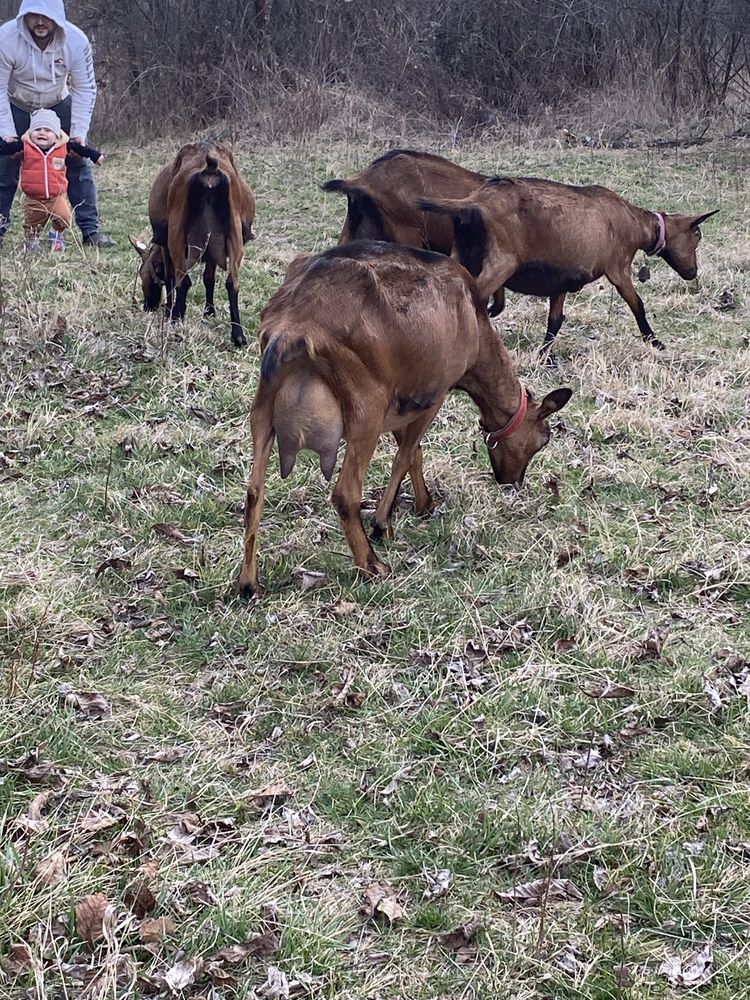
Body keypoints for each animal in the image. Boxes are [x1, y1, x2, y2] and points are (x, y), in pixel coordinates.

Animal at [131, 139, 258, 346]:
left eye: (143, 274)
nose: (147, 306)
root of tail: (209, 171)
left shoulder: (165, 245)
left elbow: (170, 277)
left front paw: (170, 311)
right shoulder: (214, 247)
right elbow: (209, 278)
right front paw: (209, 312)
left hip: (177, 233)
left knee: (183, 280)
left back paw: (177, 318)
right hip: (234, 233)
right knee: (232, 282)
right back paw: (238, 335)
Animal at [238, 242, 572, 596]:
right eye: (543, 439)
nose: (512, 483)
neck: (474, 324)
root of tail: (292, 326)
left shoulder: (404, 401)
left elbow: (413, 454)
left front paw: (424, 503)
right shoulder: (434, 393)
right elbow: (406, 455)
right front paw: (382, 523)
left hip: (264, 406)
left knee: (254, 491)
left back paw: (248, 583)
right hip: (366, 407)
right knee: (345, 492)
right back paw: (372, 565)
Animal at [420, 179, 720, 360]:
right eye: (696, 235)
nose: (692, 273)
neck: (637, 224)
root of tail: (473, 203)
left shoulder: (561, 280)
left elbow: (555, 320)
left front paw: (545, 357)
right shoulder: (618, 267)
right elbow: (638, 305)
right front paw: (655, 341)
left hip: (462, 252)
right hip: (502, 259)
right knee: (474, 299)